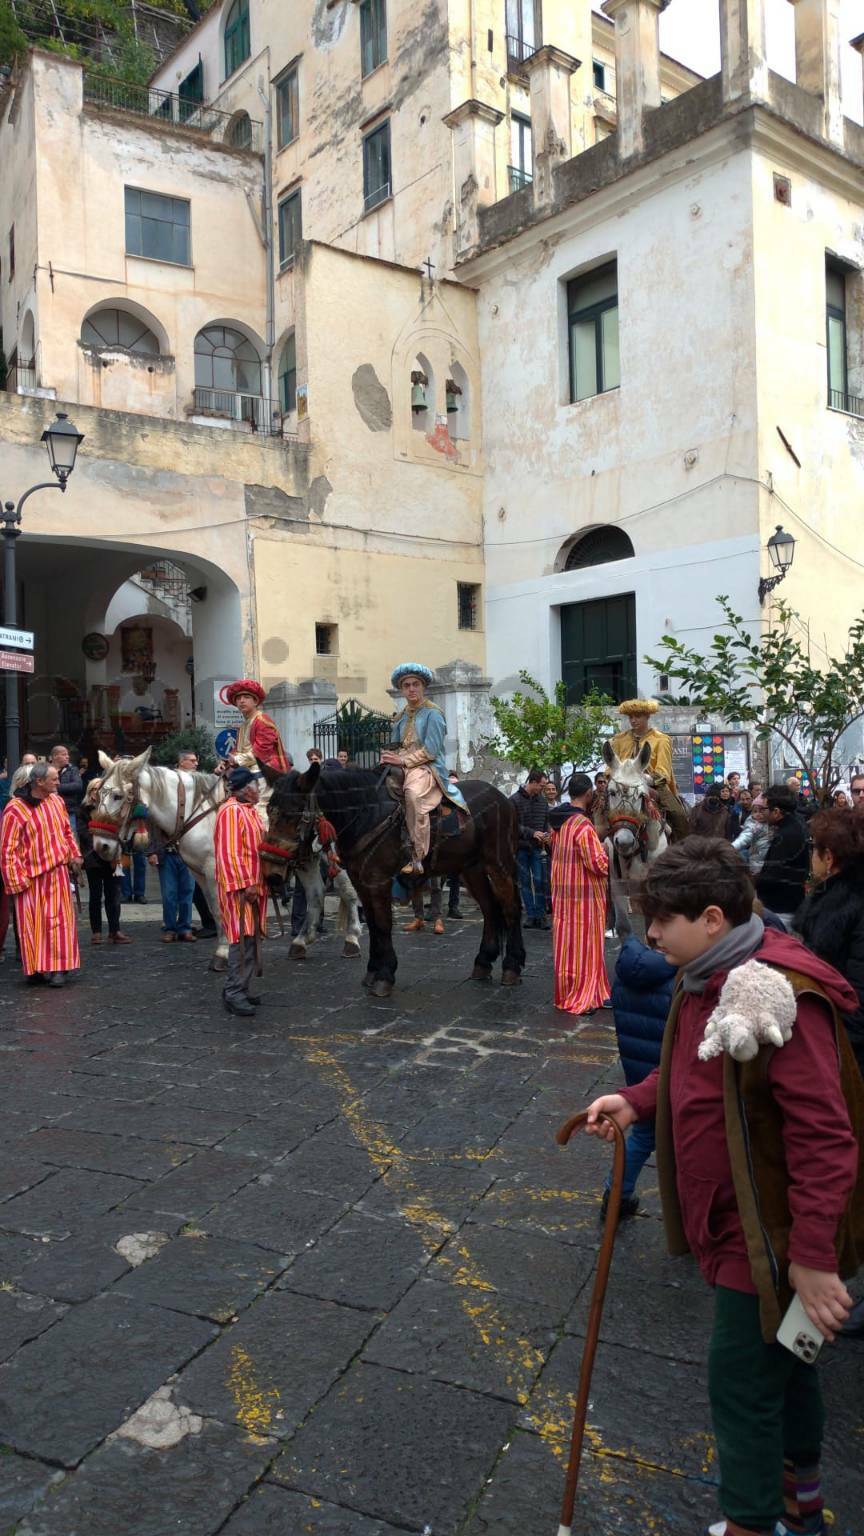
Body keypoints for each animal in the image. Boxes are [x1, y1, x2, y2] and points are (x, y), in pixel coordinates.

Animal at [92, 746, 361, 970]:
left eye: (117, 796)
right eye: (97, 795)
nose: (101, 846)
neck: (193, 811)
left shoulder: (215, 871)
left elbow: (222, 909)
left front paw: (222, 954)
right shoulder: (198, 873)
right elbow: (213, 908)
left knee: (347, 891)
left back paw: (352, 939)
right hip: (306, 858)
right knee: (316, 894)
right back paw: (301, 942)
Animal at [255, 764, 525, 1001]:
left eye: (292, 814)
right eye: (269, 811)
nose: (272, 872)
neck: (364, 815)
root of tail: (503, 799)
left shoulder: (378, 882)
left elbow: (383, 925)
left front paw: (384, 977)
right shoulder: (362, 883)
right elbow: (374, 925)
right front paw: (373, 970)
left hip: (499, 865)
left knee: (511, 908)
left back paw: (512, 966)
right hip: (471, 870)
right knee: (490, 909)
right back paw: (483, 962)